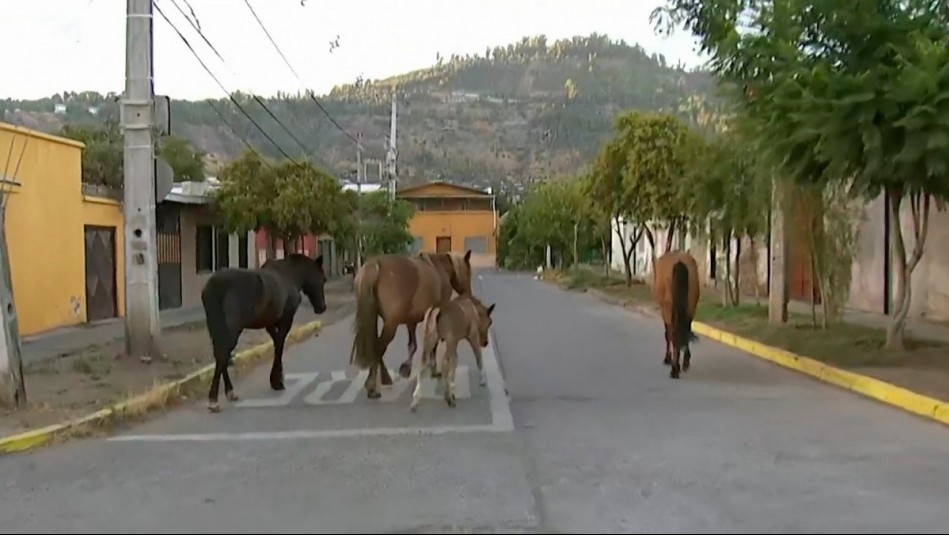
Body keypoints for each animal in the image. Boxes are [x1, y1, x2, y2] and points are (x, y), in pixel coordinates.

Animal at [199, 253, 326, 412]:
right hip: (232, 329)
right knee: (223, 354)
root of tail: (213, 287)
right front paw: (277, 381)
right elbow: (280, 346)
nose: (322, 307)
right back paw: (214, 399)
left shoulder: (269, 323)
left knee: (220, 355)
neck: (292, 276)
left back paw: (229, 392)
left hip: (215, 327)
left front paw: (277, 378)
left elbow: (276, 344)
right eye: (322, 279)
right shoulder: (286, 320)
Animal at [350, 250, 472, 398]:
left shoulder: (411, 320)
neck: (440, 268)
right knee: (379, 347)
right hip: (391, 324)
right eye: (468, 272)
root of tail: (375, 265)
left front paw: (406, 367)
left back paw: (383, 378)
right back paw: (373, 386)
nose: (468, 294)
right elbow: (433, 344)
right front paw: (433, 369)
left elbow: (412, 345)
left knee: (375, 345)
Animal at [648, 250, 700, 378]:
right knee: (685, 330)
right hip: (690, 307)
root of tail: (680, 262)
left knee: (673, 334)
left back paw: (675, 369)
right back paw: (685, 363)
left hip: (669, 309)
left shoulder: (665, 312)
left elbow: (667, 334)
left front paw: (668, 358)